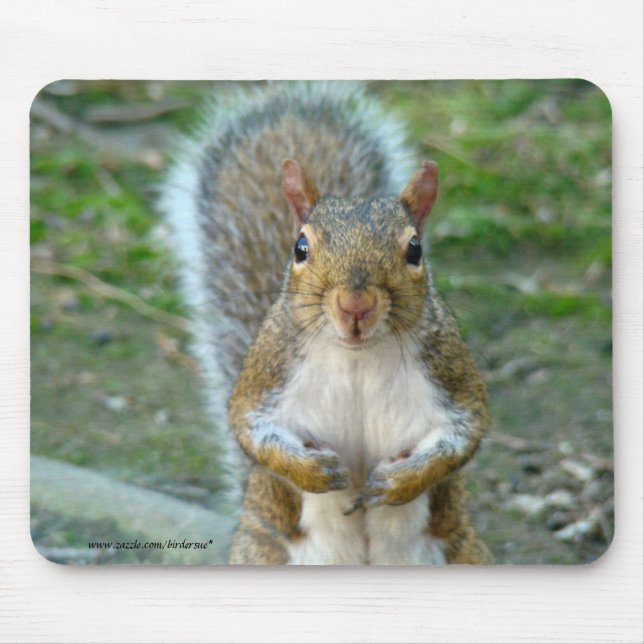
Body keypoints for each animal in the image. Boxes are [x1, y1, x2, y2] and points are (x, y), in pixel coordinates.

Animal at [161, 82, 492, 565]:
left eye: (415, 249)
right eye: (300, 247)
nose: (355, 304)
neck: (356, 357)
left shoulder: (450, 373)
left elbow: (465, 433)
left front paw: (399, 481)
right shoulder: (268, 371)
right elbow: (248, 427)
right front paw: (315, 472)